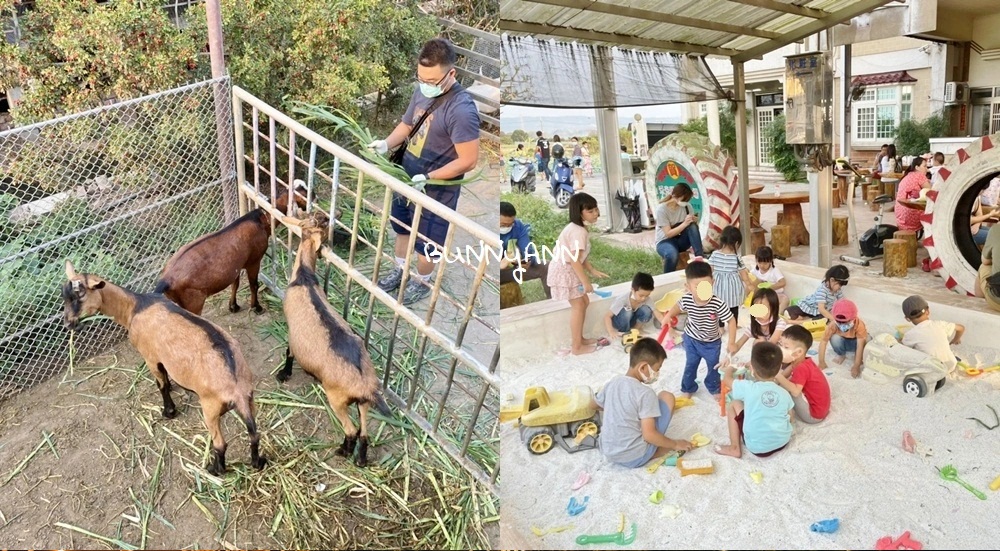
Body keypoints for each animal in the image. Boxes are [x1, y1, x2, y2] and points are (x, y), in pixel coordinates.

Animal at [64, 260, 268, 476]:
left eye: (80, 295)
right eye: (64, 296)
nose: (68, 323)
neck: (135, 307)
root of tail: (236, 390)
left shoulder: (150, 357)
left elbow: (160, 384)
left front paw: (168, 411)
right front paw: (172, 388)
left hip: (210, 408)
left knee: (220, 443)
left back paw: (213, 469)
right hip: (250, 399)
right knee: (254, 434)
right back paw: (258, 462)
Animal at [152, 182, 306, 314]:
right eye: (303, 194)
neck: (261, 220)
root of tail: (165, 280)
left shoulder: (236, 266)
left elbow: (235, 284)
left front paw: (233, 306)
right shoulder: (253, 260)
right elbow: (254, 285)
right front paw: (256, 307)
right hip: (194, 301)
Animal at [282, 211, 394, 466]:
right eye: (322, 220)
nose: (338, 214)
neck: (303, 277)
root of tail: (365, 386)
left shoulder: (291, 333)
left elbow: (289, 352)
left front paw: (283, 374)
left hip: (337, 398)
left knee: (351, 429)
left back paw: (342, 451)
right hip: (363, 403)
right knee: (364, 432)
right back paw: (360, 459)